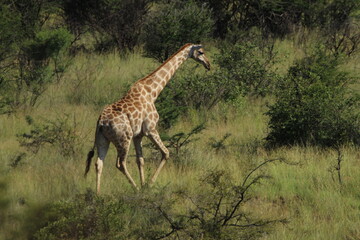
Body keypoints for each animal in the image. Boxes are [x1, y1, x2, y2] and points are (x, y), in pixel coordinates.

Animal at [84, 43, 210, 193]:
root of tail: (101, 123)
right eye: (201, 52)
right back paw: (136, 189)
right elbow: (166, 153)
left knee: (99, 163)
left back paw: (98, 194)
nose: (208, 64)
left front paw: (144, 183)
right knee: (120, 163)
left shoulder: (138, 135)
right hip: (124, 138)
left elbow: (141, 160)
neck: (152, 92)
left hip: (103, 140)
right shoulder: (150, 128)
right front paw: (149, 184)